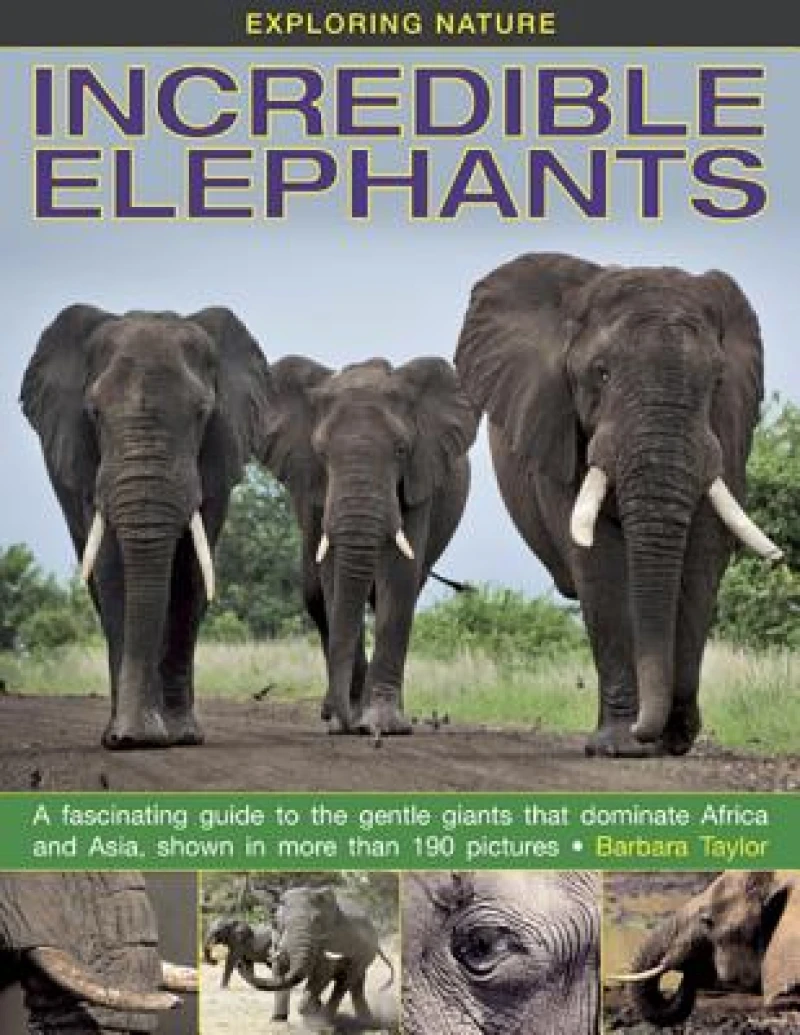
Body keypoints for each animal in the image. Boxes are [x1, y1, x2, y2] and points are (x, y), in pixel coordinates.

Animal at [21, 305, 269, 749]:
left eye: (202, 414)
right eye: (93, 413)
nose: (134, 736)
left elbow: (190, 575)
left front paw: (180, 736)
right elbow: (113, 571)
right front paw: (132, 737)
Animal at [242, 885, 396, 1025]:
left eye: (317, 921)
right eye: (278, 922)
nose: (241, 963)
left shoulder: (327, 940)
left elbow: (322, 973)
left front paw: (311, 1013)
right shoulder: (277, 939)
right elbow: (279, 971)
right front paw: (278, 1020)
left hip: (364, 954)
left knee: (344, 982)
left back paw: (326, 1020)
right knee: (355, 984)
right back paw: (366, 1022)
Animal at [258, 356, 478, 735]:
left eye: (401, 450)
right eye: (321, 453)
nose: (350, 724)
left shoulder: (420, 479)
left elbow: (400, 578)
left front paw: (383, 723)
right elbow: (333, 579)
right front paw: (344, 720)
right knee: (315, 595)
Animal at [454, 252, 782, 758]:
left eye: (717, 381)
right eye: (601, 373)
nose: (654, 733)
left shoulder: (728, 434)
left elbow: (703, 553)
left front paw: (673, 737)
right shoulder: (557, 429)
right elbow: (600, 562)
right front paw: (621, 745)